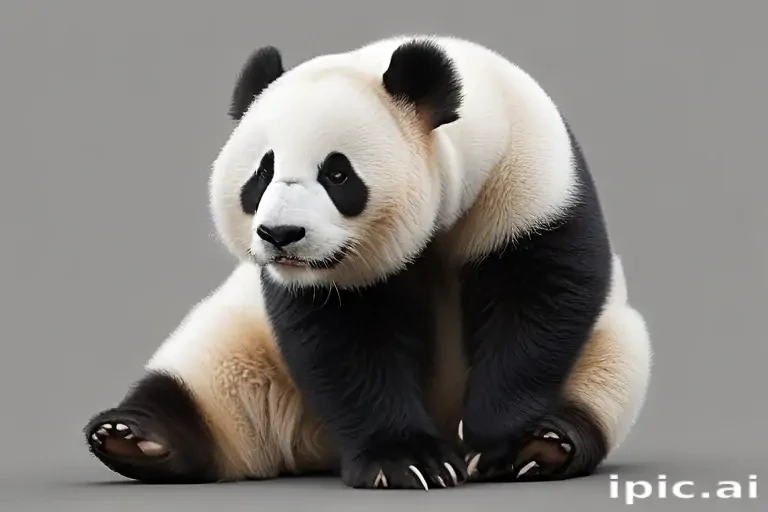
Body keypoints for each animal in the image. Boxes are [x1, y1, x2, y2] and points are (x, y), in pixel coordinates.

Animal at [84, 34, 652, 489]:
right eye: (262, 174)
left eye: (337, 174)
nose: (281, 235)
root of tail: (316, 448)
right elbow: (345, 342)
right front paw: (407, 463)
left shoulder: (533, 180)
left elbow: (540, 301)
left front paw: (495, 443)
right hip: (242, 352)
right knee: (199, 382)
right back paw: (133, 436)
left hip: (610, 348)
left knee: (606, 376)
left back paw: (548, 444)